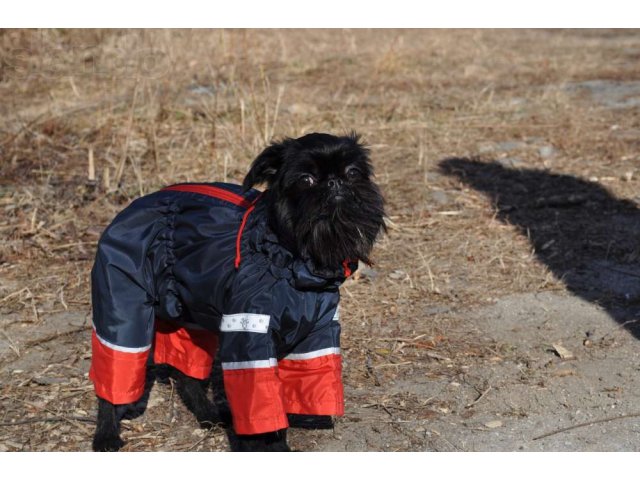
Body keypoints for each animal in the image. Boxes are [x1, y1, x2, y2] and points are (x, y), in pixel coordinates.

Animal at [90, 132, 384, 450]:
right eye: (306, 179)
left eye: (352, 173)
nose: (335, 182)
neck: (291, 260)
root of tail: (130, 209)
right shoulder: (249, 338)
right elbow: (260, 399)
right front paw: (270, 443)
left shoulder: (316, 336)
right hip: (124, 305)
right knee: (115, 370)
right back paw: (106, 433)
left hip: (192, 315)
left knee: (186, 375)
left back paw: (207, 414)